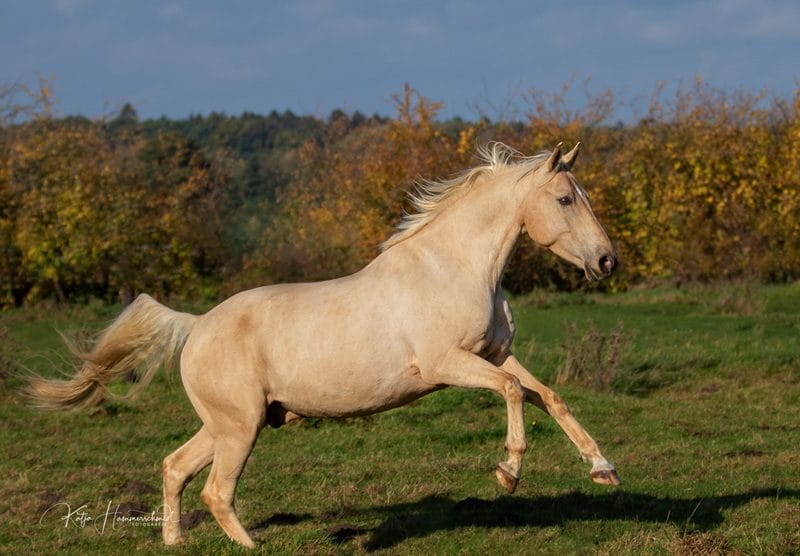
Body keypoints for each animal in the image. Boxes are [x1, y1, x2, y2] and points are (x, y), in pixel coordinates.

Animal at [26, 142, 620, 548]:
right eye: (565, 199)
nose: (607, 261)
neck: (453, 267)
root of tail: (195, 326)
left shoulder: (494, 355)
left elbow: (548, 395)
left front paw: (602, 468)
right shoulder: (447, 364)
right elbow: (514, 391)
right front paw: (508, 473)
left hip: (228, 424)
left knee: (175, 467)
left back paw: (175, 543)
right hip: (239, 427)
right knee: (215, 490)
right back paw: (251, 546)